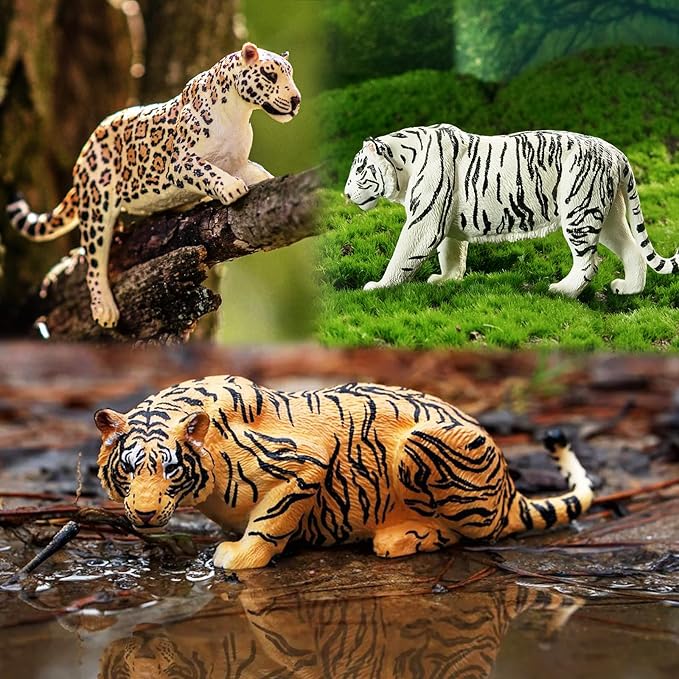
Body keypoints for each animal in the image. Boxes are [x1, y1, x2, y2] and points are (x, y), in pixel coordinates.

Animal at [6, 43, 301, 328]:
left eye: (290, 74)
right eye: (270, 75)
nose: (296, 100)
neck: (238, 115)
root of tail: (82, 159)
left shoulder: (237, 162)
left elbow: (256, 171)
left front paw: (270, 181)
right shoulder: (180, 163)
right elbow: (207, 171)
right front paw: (230, 188)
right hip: (97, 205)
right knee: (94, 259)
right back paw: (104, 308)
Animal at [94, 375, 593, 570]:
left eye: (170, 470)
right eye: (129, 470)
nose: (143, 514)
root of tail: (509, 489)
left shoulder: (302, 466)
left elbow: (269, 523)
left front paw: (237, 558)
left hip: (422, 450)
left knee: (472, 531)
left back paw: (399, 537)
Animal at [343, 125, 678, 296]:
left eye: (359, 169)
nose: (345, 194)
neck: (404, 163)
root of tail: (616, 152)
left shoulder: (425, 220)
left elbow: (403, 254)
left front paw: (377, 286)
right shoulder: (447, 219)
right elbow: (452, 253)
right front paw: (446, 279)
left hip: (579, 212)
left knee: (589, 262)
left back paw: (562, 290)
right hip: (605, 215)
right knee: (633, 250)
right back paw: (628, 289)